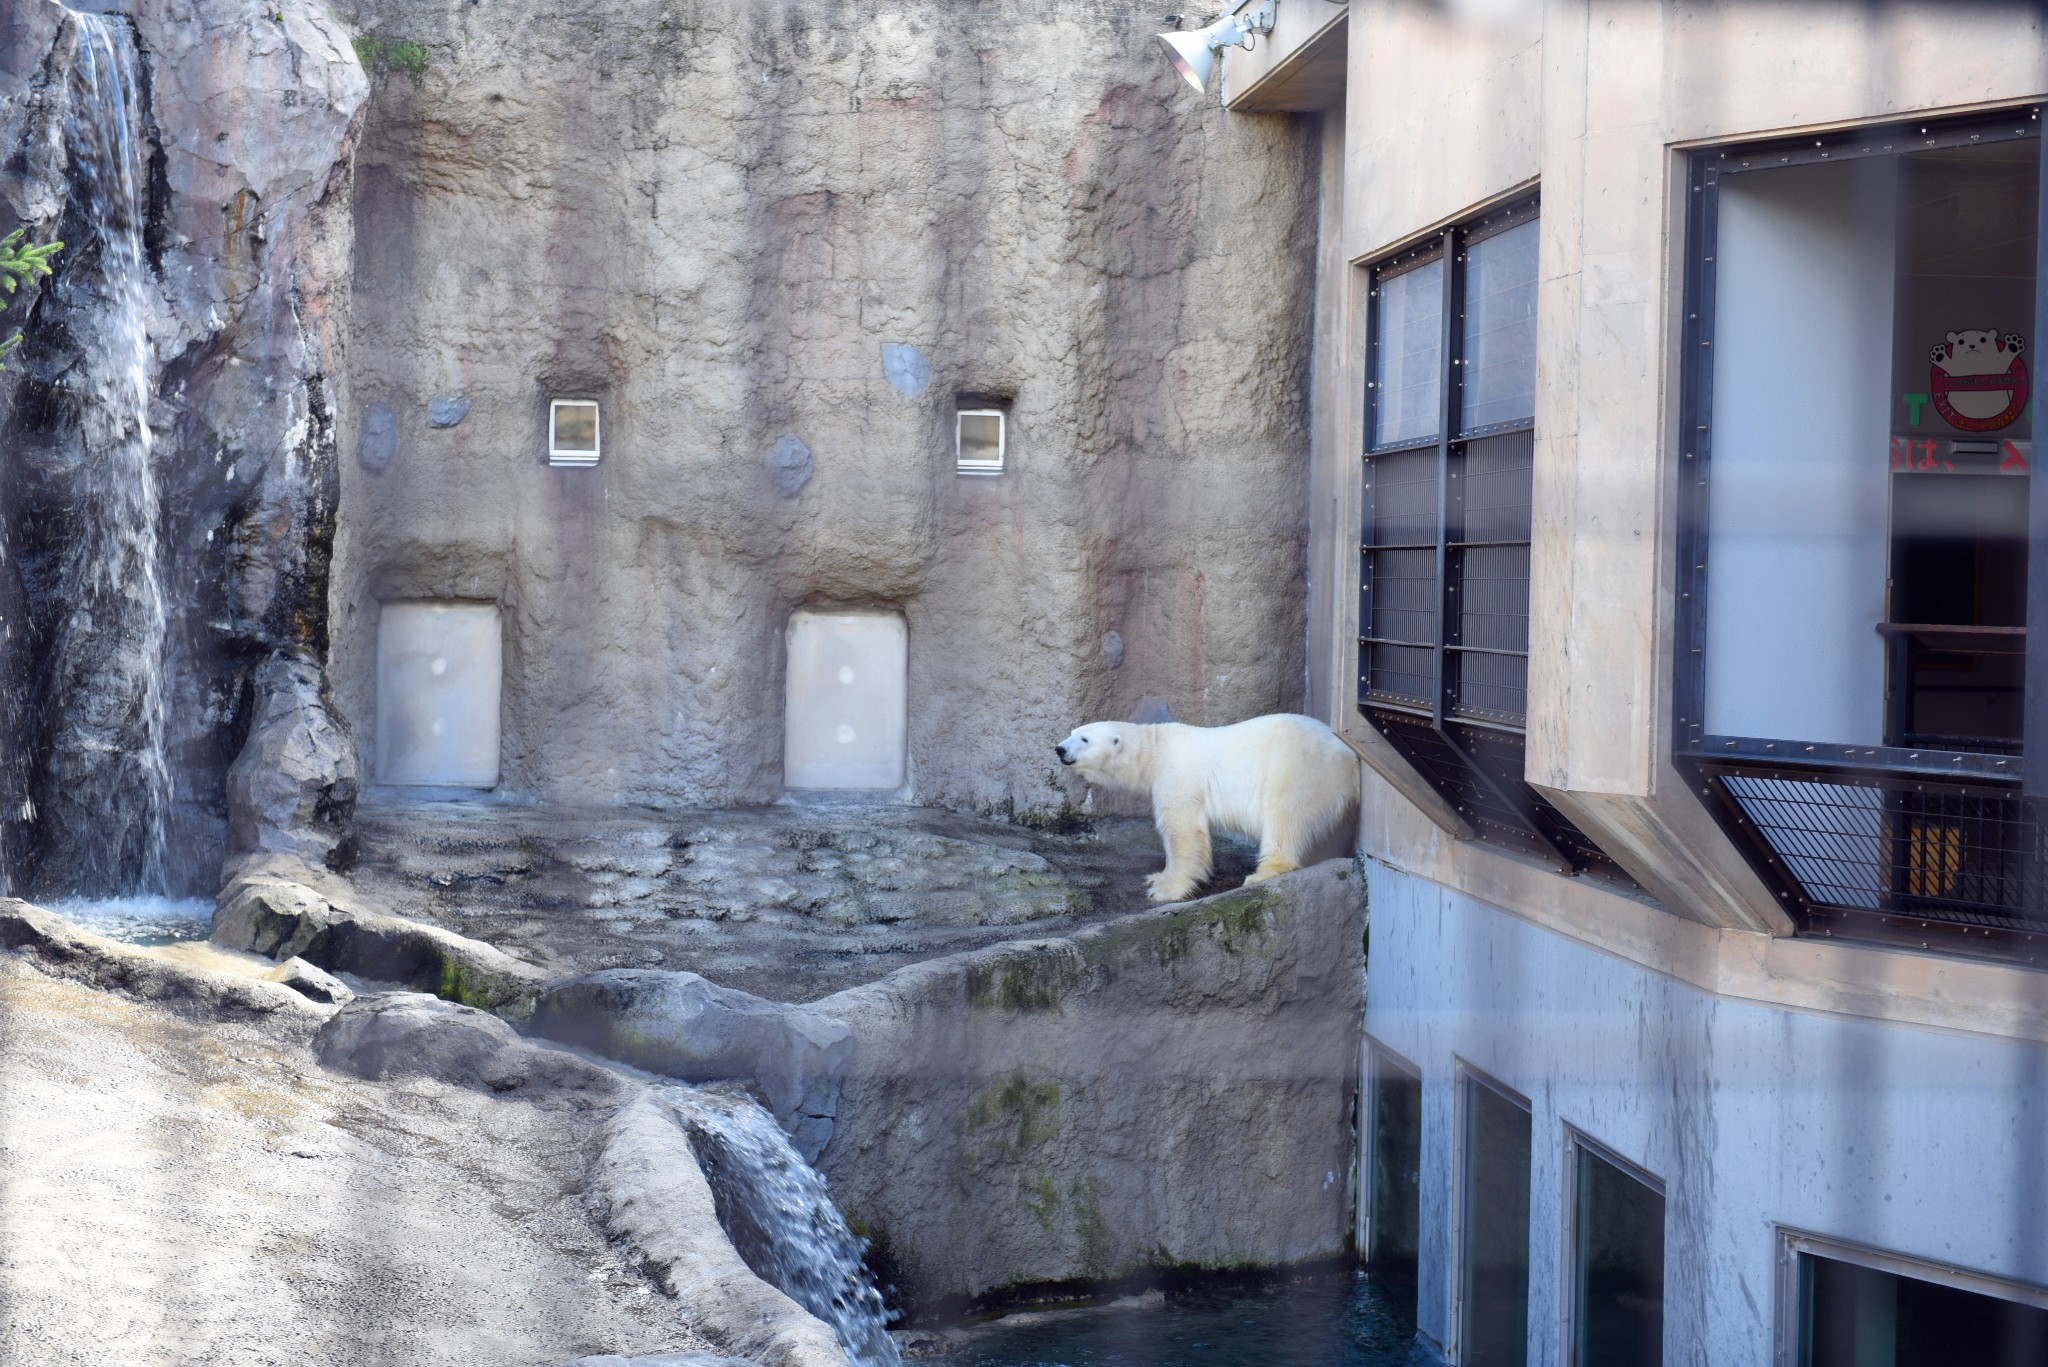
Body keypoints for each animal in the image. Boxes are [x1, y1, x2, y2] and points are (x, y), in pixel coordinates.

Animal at [1056, 713, 1359, 901]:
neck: (1156, 750)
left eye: (1084, 739)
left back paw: (1263, 872)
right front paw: (1157, 878)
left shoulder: (1179, 777)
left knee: (1285, 814)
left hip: (1298, 766)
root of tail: (1349, 755)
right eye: (1072, 732)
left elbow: (1183, 831)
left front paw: (1167, 891)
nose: (1059, 749)